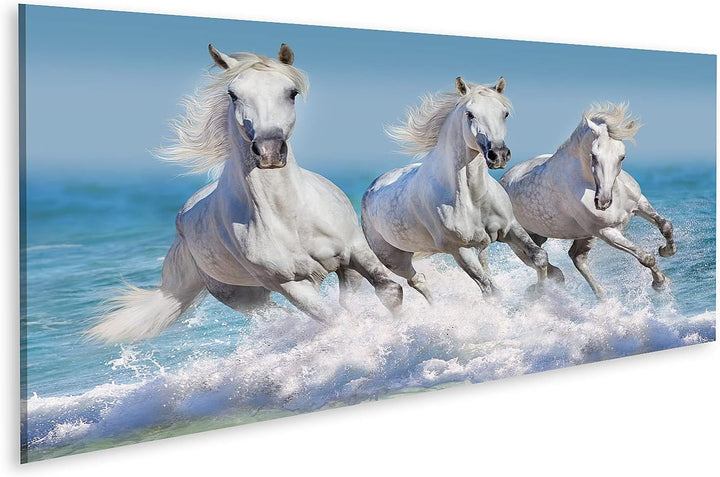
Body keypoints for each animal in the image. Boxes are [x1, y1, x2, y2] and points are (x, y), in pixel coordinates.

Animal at [88, 44, 403, 343]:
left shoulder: (353, 253)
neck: (290, 217)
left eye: (291, 93)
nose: (269, 150)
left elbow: (389, 291)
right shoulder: (291, 285)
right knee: (282, 318)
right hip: (245, 297)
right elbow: (340, 319)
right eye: (233, 94)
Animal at [361, 77, 550, 302]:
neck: (473, 198)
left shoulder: (510, 227)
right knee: (416, 280)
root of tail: (371, 188)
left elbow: (539, 257)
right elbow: (489, 290)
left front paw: (539, 294)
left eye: (504, 113)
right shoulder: (460, 250)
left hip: (481, 246)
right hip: (395, 259)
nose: (498, 155)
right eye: (470, 114)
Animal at [500, 103, 676, 298]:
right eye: (594, 155)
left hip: (580, 235)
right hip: (520, 240)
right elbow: (645, 257)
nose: (603, 202)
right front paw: (659, 282)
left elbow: (665, 225)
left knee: (577, 258)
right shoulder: (606, 232)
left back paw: (602, 297)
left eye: (622, 156)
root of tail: (503, 180)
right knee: (544, 263)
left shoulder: (639, 204)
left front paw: (666, 251)